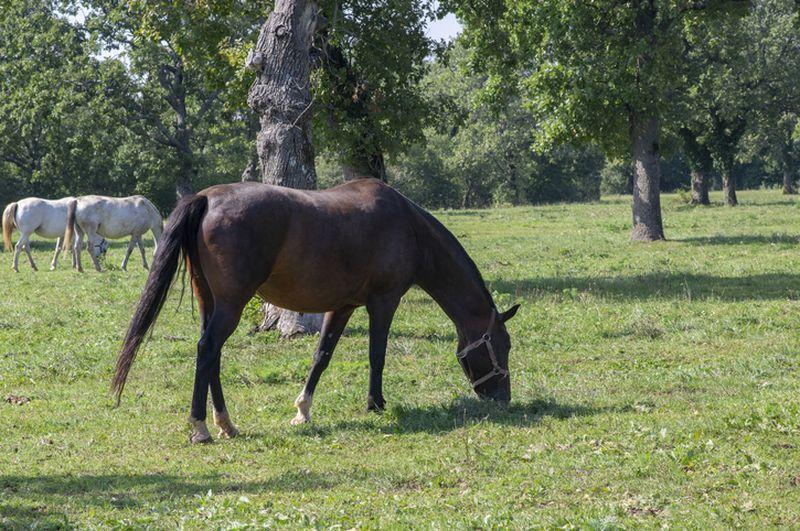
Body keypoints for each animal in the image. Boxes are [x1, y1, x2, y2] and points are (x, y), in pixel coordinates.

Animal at [112, 179, 520, 444]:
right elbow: (377, 355)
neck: (410, 229)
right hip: (231, 304)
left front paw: (302, 411)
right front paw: (376, 404)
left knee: (211, 354)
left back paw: (226, 423)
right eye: (503, 345)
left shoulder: (342, 307)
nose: (503, 399)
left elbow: (321, 355)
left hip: (208, 301)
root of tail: (205, 198)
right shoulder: (384, 301)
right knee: (208, 349)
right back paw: (200, 428)